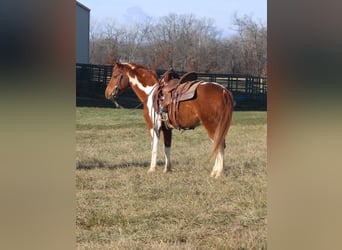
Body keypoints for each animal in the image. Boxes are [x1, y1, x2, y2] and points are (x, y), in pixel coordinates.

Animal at [103, 62, 232, 178]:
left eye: (115, 75)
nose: (107, 93)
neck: (150, 93)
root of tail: (223, 90)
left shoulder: (153, 127)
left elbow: (154, 147)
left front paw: (152, 169)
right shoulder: (167, 129)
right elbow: (167, 148)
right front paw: (167, 169)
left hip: (211, 126)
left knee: (219, 145)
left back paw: (217, 173)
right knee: (221, 145)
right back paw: (217, 171)